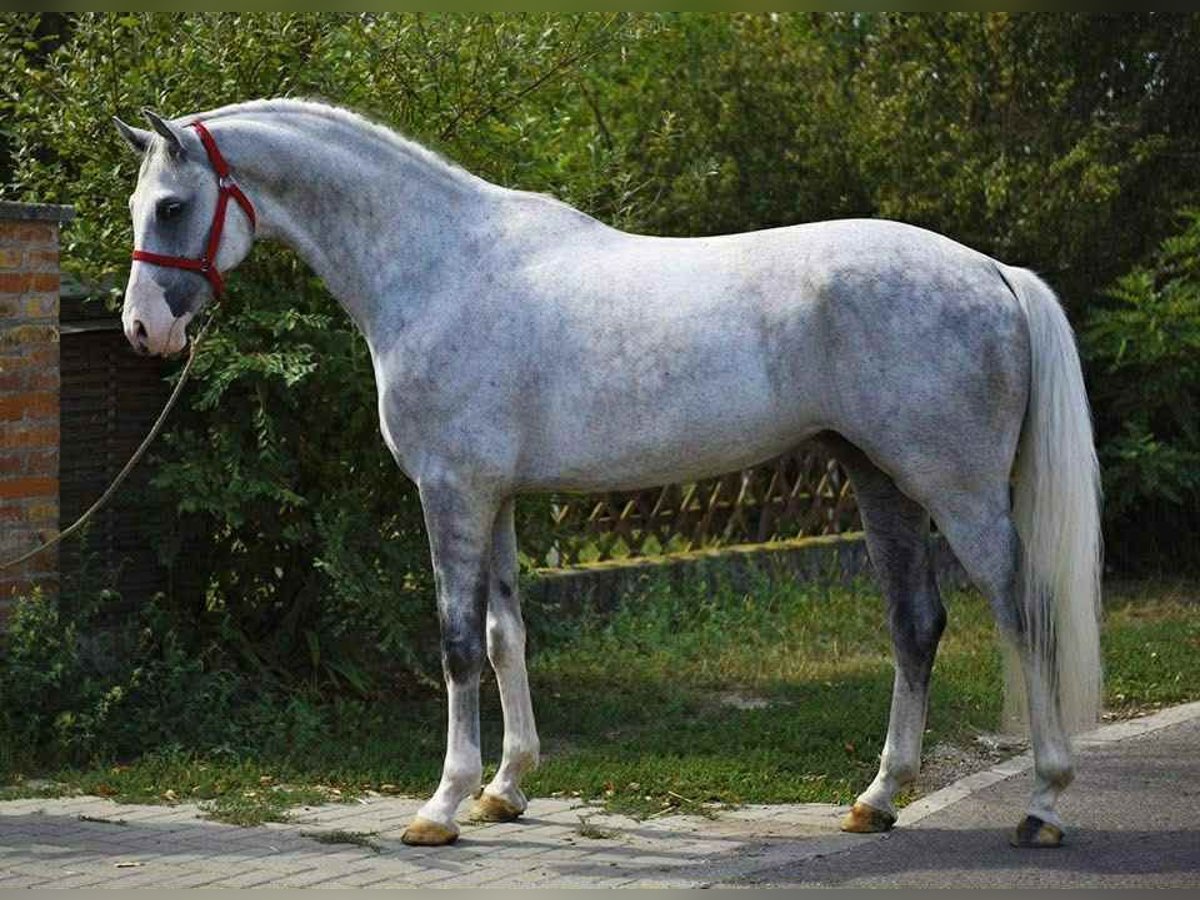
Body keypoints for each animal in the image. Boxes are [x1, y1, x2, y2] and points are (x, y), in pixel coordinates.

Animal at [113, 98, 1101, 849]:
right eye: (139, 208)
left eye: (170, 207)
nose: (143, 332)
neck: (440, 268)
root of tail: (993, 272)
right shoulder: (497, 498)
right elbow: (506, 636)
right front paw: (505, 790)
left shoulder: (452, 491)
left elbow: (457, 644)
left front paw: (441, 806)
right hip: (881, 482)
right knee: (916, 625)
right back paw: (878, 799)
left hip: (958, 492)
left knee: (1023, 612)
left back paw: (1044, 802)